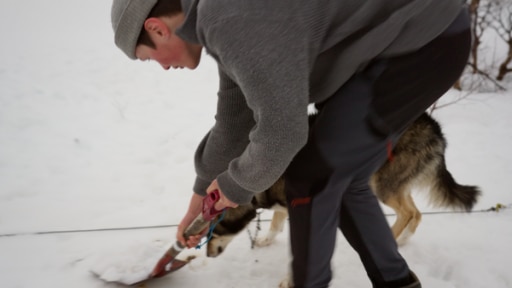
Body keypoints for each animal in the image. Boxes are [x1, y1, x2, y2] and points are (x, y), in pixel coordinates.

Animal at [206, 112, 482, 258]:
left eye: (215, 232)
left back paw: (393, 239)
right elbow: (275, 224)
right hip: (395, 183)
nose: (207, 253)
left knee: (407, 212)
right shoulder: (283, 202)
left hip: (382, 185)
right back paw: (403, 240)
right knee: (416, 212)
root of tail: (434, 128)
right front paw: (265, 240)